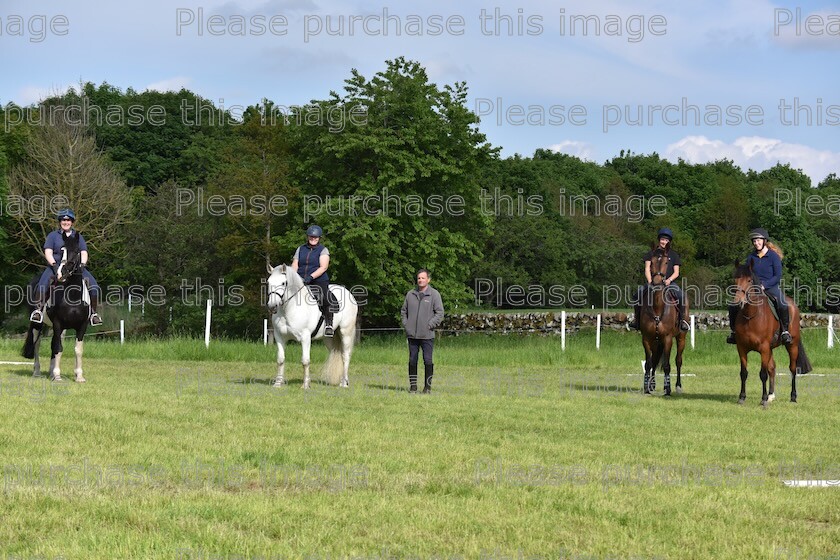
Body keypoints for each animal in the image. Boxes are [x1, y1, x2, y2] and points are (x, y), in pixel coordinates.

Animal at [22, 230, 89, 382]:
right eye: (62, 250)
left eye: (76, 251)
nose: (61, 273)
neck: (73, 297)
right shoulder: (58, 323)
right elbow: (58, 347)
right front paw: (58, 376)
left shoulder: (82, 325)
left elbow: (78, 350)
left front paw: (79, 376)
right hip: (37, 324)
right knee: (37, 344)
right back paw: (37, 372)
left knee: (53, 343)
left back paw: (51, 372)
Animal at [640, 247, 684, 396]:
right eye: (652, 261)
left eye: (666, 261)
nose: (657, 282)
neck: (658, 307)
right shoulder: (647, 338)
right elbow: (648, 363)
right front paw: (646, 387)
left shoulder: (668, 339)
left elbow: (666, 365)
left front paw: (668, 389)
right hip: (656, 341)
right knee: (654, 361)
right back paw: (652, 385)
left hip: (681, 337)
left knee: (678, 361)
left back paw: (678, 386)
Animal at [732, 262, 812, 406]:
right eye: (735, 279)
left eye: (749, 280)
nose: (738, 302)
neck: (750, 316)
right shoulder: (741, 348)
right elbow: (744, 373)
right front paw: (742, 397)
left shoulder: (763, 348)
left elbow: (763, 374)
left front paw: (763, 399)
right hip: (770, 349)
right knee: (772, 368)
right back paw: (771, 395)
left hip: (792, 345)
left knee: (792, 369)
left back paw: (793, 397)